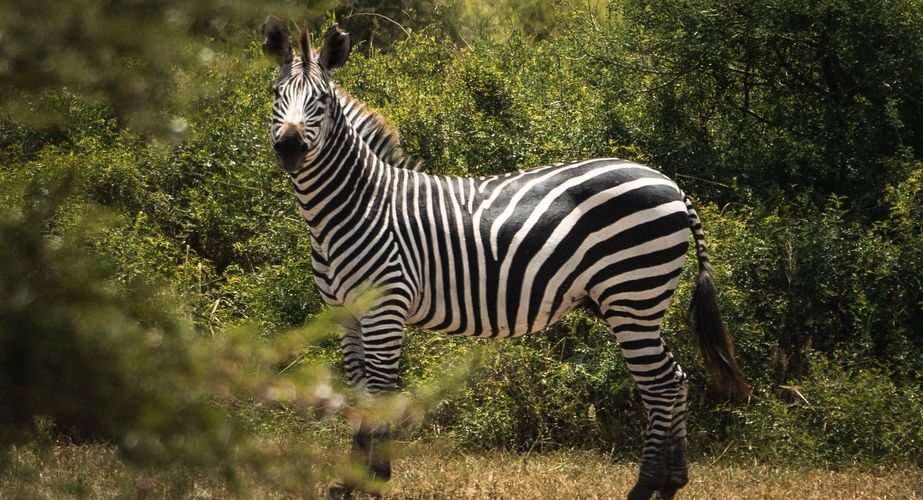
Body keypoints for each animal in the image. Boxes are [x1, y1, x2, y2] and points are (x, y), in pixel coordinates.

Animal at [261, 18, 750, 500]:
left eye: (322, 100)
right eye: (275, 93)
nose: (289, 147)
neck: (353, 207)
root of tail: (671, 185)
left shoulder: (385, 308)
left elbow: (380, 394)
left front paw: (376, 479)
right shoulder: (344, 314)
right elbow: (359, 395)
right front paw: (350, 481)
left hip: (632, 293)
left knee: (662, 385)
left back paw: (645, 486)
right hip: (635, 301)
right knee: (676, 380)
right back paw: (671, 483)